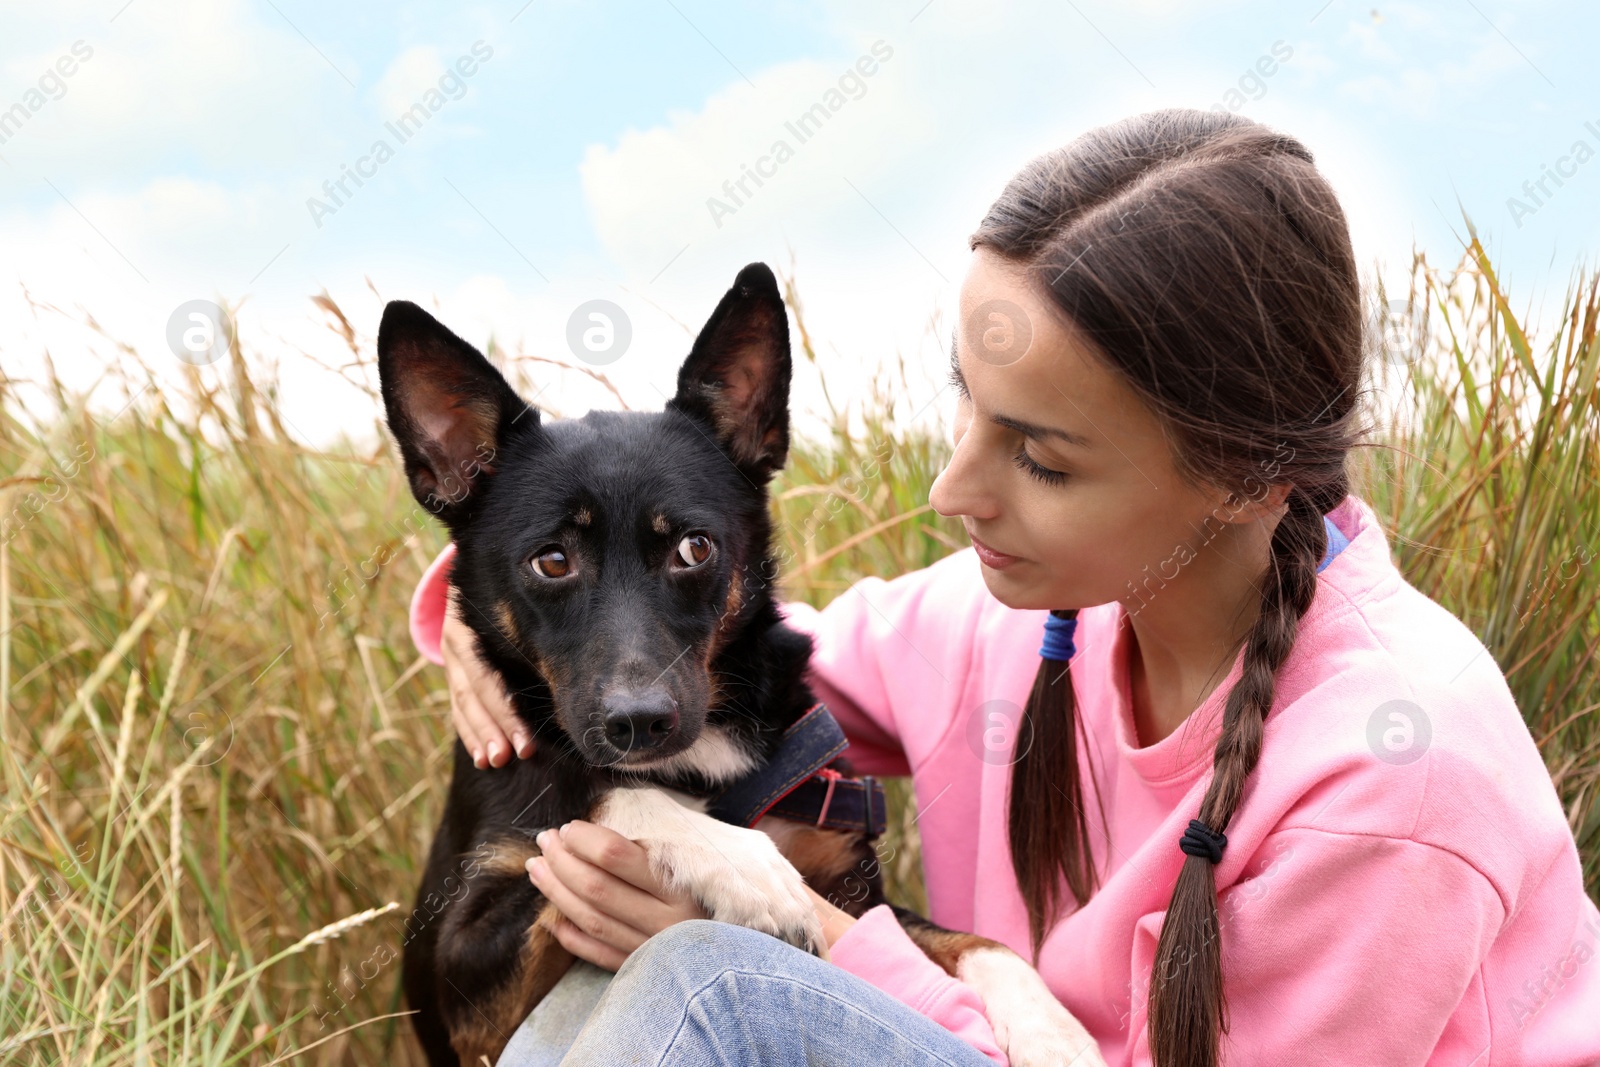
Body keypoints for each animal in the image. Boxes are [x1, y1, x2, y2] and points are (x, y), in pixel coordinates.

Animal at [376, 265, 1100, 1067]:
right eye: (552, 561)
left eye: (693, 548)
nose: (640, 723)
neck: (701, 764)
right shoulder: (462, 978)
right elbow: (594, 788)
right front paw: (741, 863)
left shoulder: (858, 890)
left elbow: (979, 944)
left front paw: (1055, 1033)